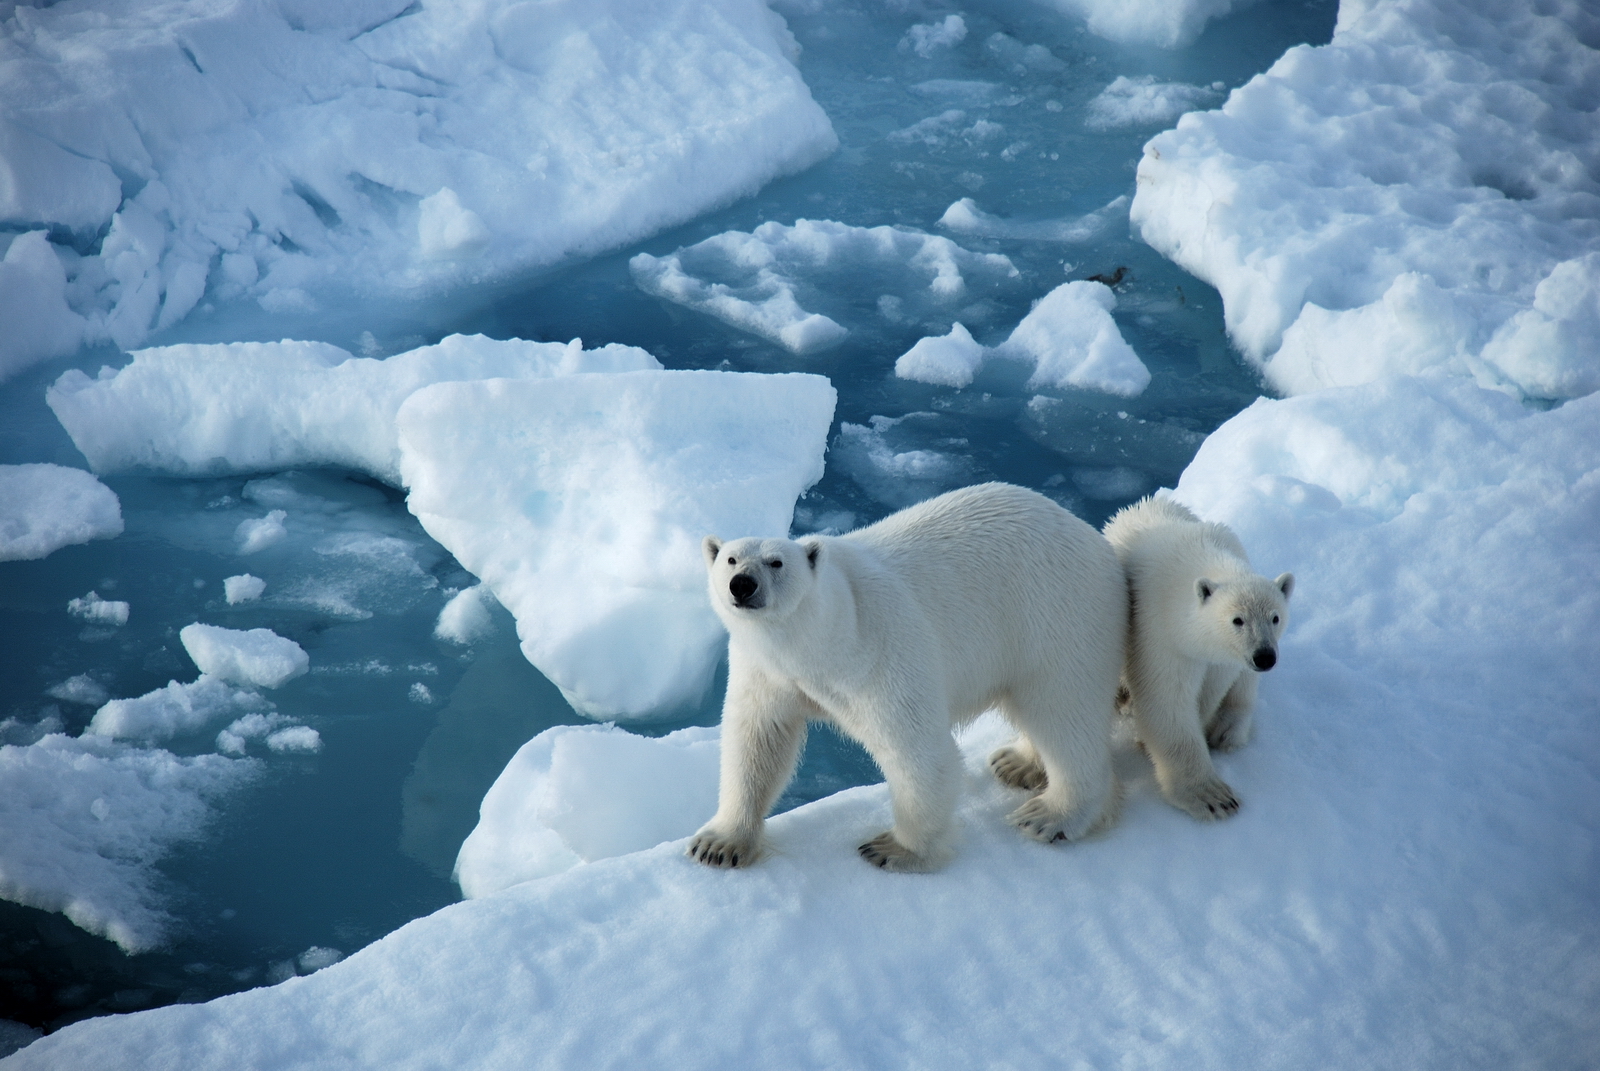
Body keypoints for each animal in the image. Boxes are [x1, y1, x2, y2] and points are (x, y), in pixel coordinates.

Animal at [688, 483, 1126, 870]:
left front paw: (895, 849)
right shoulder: (766, 671)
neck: (823, 636)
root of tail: (1095, 539)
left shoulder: (879, 652)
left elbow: (916, 749)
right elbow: (757, 741)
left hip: (1056, 616)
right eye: (730, 559)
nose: (742, 584)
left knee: (1062, 712)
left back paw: (1051, 814)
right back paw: (1017, 763)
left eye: (776, 562)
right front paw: (718, 844)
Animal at [1107, 496, 1292, 819]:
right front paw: (1211, 796)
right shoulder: (1157, 629)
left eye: (1275, 617)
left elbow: (1211, 688)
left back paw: (1227, 731)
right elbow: (1166, 698)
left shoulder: (1222, 657)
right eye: (1237, 620)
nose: (1264, 657)